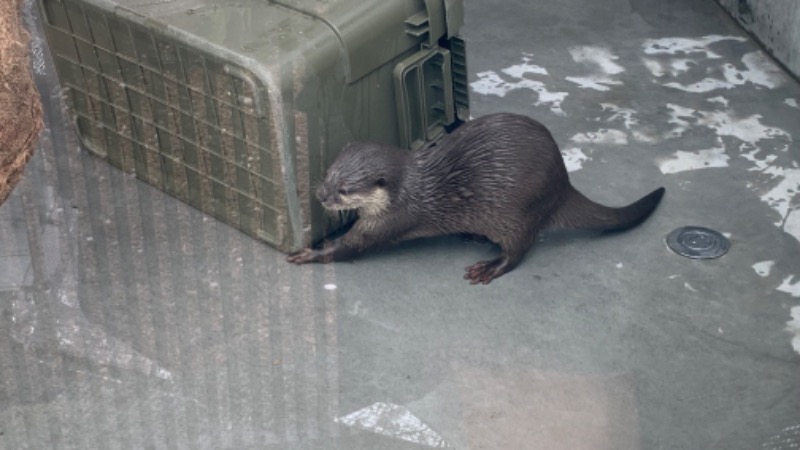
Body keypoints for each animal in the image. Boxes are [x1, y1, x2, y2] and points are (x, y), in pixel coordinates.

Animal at [286, 112, 664, 284]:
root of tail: (563, 183)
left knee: (519, 250)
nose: (321, 195)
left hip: (521, 211)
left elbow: (352, 245)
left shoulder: (394, 218)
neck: (406, 189)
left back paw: (489, 268)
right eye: (329, 173)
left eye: (345, 189)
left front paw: (310, 252)